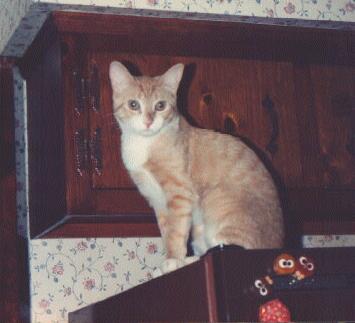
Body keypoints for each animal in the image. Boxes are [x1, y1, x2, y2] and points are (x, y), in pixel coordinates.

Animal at [110, 61, 286, 274]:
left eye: (160, 105)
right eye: (133, 104)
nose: (148, 121)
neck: (145, 144)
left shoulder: (179, 194)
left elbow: (175, 233)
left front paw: (172, 261)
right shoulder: (158, 203)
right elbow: (167, 233)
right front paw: (172, 261)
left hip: (216, 202)